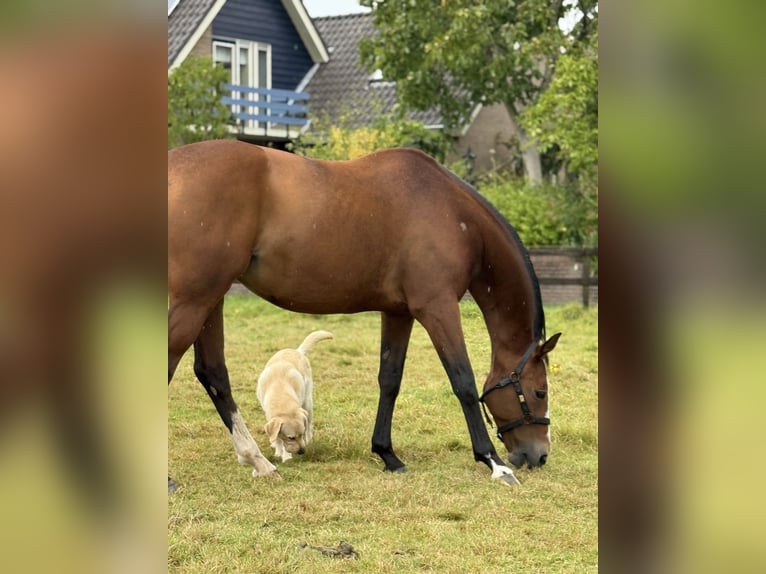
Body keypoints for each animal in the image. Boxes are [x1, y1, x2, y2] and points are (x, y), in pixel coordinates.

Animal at [168, 139, 561, 488]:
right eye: (539, 392)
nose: (538, 455)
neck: (452, 212)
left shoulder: (398, 312)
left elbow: (390, 379)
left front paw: (387, 454)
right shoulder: (438, 307)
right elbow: (462, 381)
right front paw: (493, 462)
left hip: (211, 299)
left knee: (213, 374)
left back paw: (259, 462)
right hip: (193, 300)